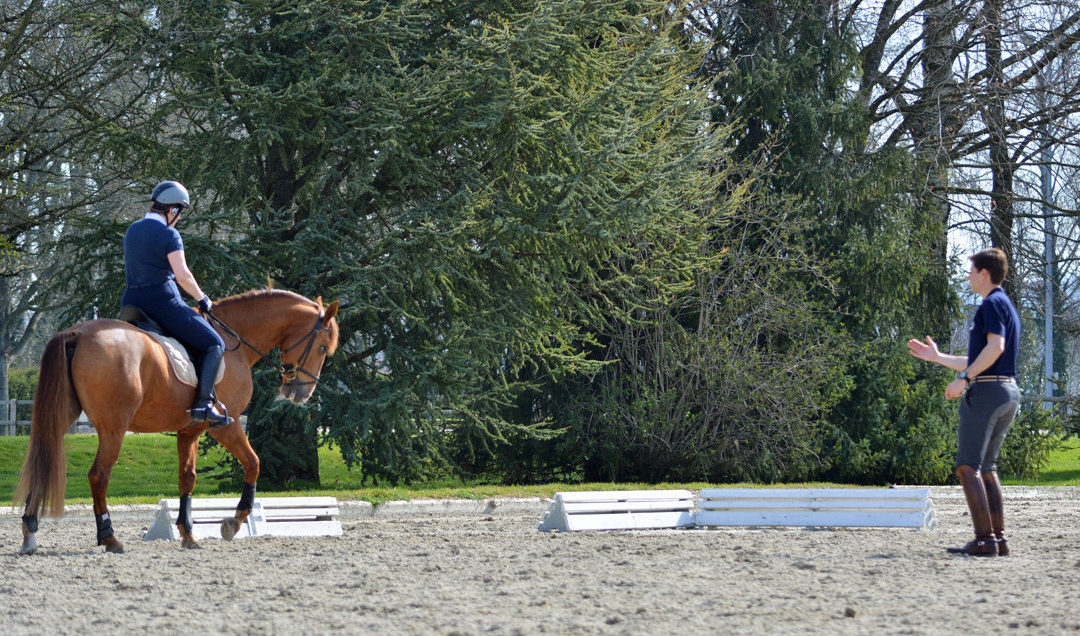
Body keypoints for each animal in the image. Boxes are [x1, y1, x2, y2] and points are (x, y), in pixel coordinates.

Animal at [14, 289, 339, 552]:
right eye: (323, 347)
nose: (302, 393)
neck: (234, 338)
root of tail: (77, 333)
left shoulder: (190, 430)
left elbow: (187, 477)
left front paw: (187, 533)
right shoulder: (228, 425)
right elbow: (253, 462)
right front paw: (233, 522)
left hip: (61, 418)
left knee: (43, 460)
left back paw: (30, 532)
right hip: (113, 428)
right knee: (99, 476)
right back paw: (109, 537)